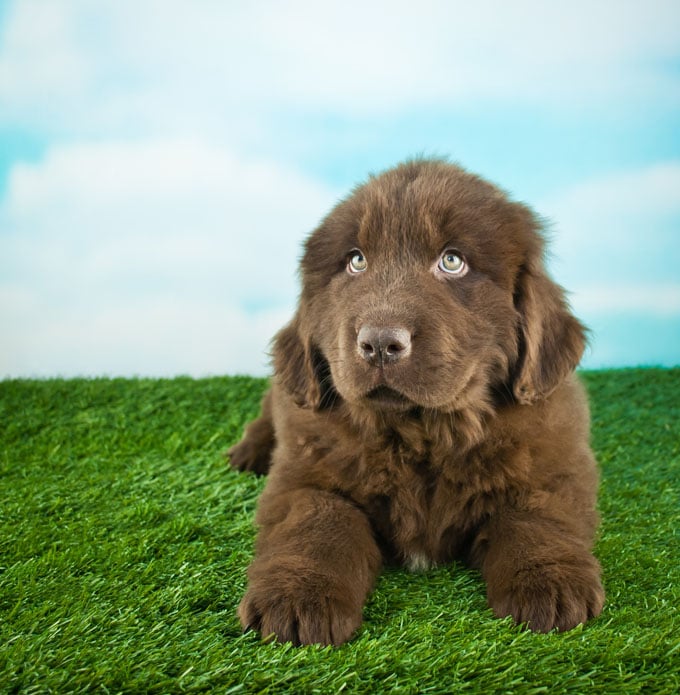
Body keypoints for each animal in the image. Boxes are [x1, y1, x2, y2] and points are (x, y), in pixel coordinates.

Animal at [230, 158, 604, 648]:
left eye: (452, 261)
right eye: (356, 261)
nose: (380, 344)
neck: (420, 433)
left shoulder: (551, 463)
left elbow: (536, 516)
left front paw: (550, 585)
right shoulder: (304, 471)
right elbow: (318, 519)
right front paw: (297, 598)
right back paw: (248, 452)